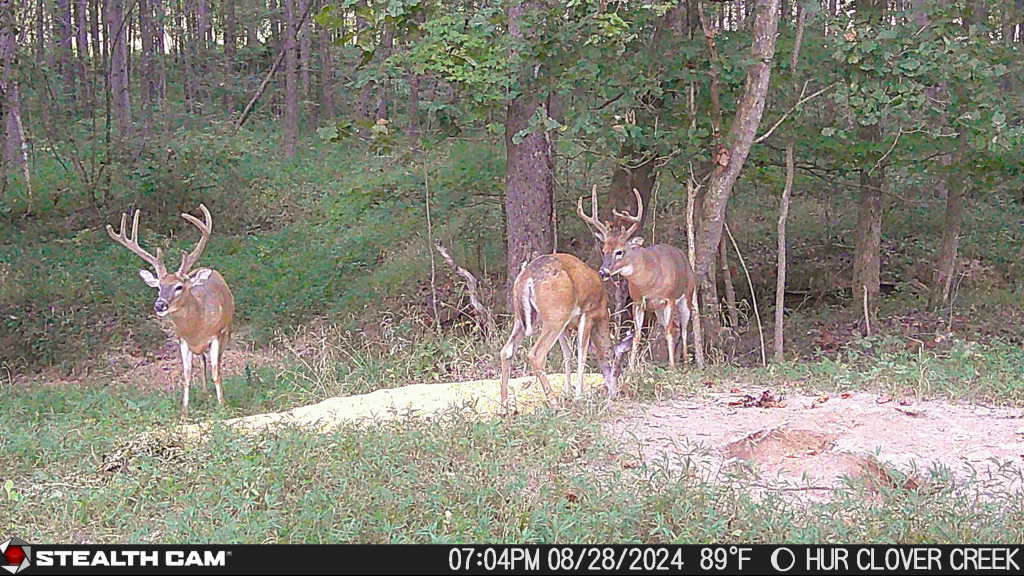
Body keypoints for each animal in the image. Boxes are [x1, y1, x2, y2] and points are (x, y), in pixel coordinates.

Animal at [107, 204, 235, 419]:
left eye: (179, 287)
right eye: (159, 287)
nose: (159, 305)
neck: (197, 328)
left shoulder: (217, 334)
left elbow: (216, 371)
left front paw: (223, 406)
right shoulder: (182, 339)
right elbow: (186, 375)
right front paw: (184, 413)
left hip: (227, 330)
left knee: (214, 362)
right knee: (202, 362)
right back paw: (205, 394)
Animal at [499, 253, 620, 410]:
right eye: (618, 369)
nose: (615, 393)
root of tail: (527, 276)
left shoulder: (566, 325)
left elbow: (567, 354)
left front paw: (568, 392)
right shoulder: (588, 313)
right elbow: (582, 354)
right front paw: (578, 395)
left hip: (524, 317)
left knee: (506, 351)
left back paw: (504, 406)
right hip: (555, 315)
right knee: (536, 354)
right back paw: (554, 403)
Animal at [577, 186, 696, 371]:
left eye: (619, 251)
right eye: (604, 250)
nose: (603, 272)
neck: (649, 280)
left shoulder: (669, 299)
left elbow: (670, 332)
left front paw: (671, 367)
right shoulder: (638, 301)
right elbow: (637, 334)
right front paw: (632, 366)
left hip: (687, 297)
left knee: (683, 328)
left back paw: (684, 361)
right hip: (658, 309)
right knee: (671, 327)